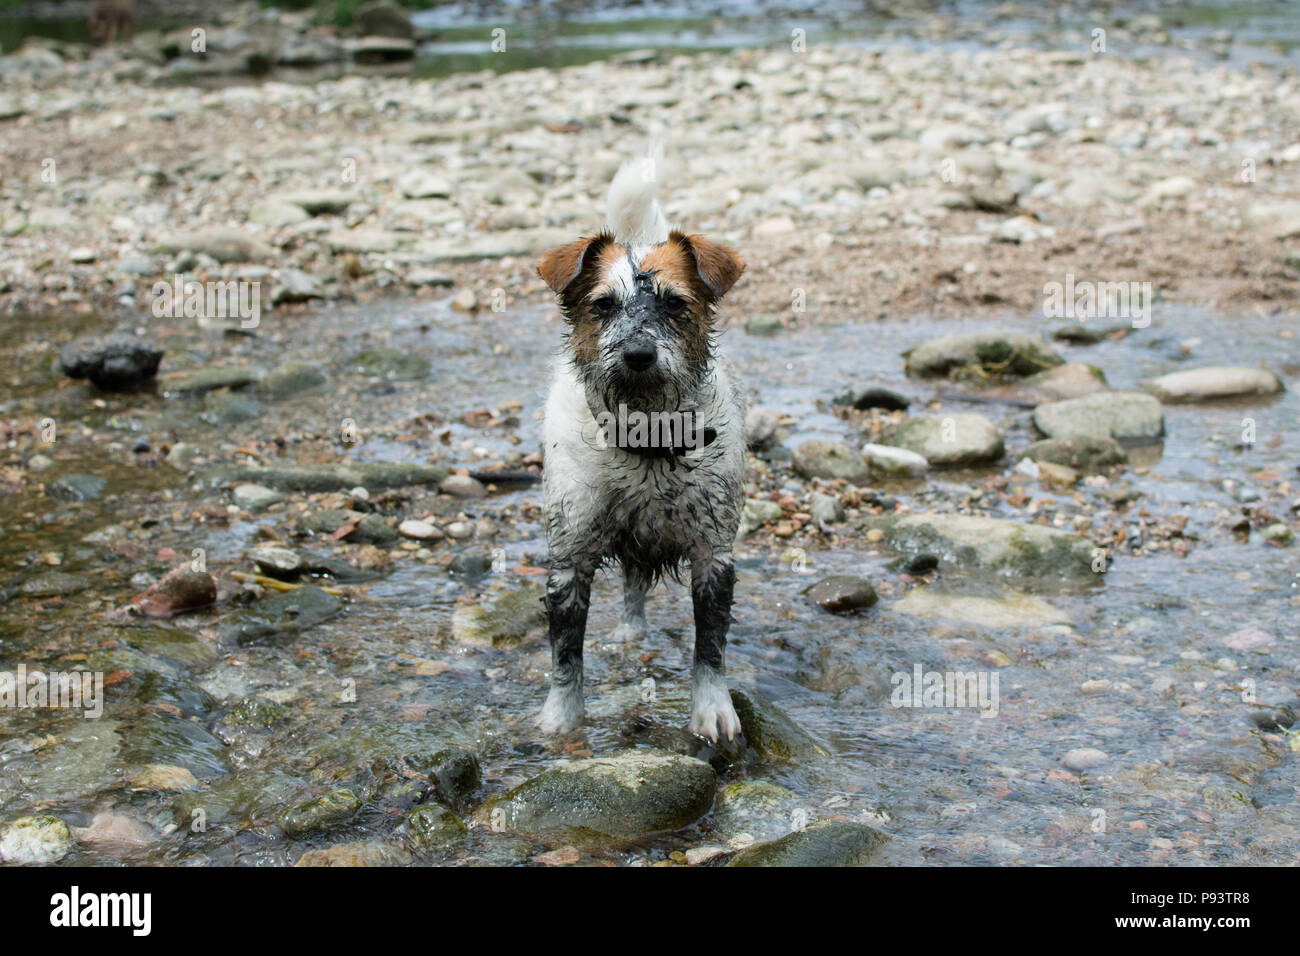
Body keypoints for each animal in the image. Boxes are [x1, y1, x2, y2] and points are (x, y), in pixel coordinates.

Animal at [533, 143, 748, 738]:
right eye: (604, 304)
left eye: (674, 303)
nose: (638, 355)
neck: (647, 440)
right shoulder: (569, 556)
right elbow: (566, 654)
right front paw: (561, 721)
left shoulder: (713, 554)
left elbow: (710, 648)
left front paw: (712, 709)